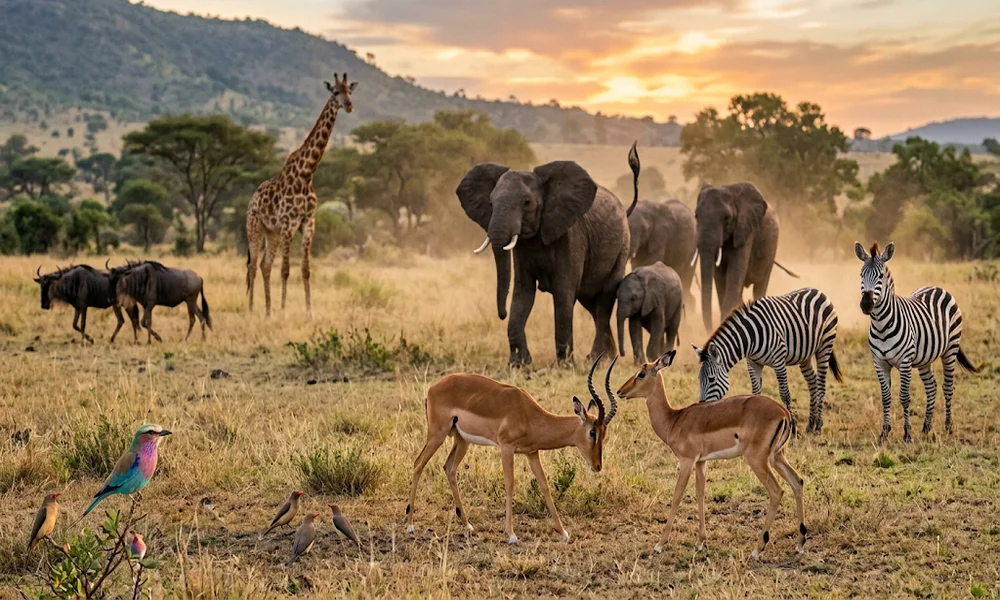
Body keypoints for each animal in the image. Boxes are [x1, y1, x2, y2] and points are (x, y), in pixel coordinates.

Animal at [245, 72, 358, 315]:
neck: (307, 174)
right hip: (255, 227)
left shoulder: (308, 222)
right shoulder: (290, 223)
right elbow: (286, 269)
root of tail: (252, 199)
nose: (349, 105)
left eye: (350, 91)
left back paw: (267, 312)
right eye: (335, 92)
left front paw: (308, 312)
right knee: (252, 265)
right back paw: (250, 311)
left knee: (265, 265)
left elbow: (305, 269)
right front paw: (284, 312)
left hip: (272, 232)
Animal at [457, 151, 639, 366]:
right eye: (491, 203)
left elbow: (563, 291)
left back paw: (596, 359)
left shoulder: (571, 236)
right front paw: (519, 365)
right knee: (591, 303)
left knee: (604, 300)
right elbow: (523, 291)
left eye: (527, 202)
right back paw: (605, 357)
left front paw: (564, 365)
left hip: (622, 247)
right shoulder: (523, 248)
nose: (502, 314)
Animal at [692, 182, 798, 332]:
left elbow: (734, 275)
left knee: (760, 287)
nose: (710, 330)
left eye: (726, 218)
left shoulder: (746, 231)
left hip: (771, 250)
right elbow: (720, 278)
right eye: (696, 216)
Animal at [693, 287, 842, 433]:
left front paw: (793, 427)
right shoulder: (753, 363)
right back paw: (811, 424)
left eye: (711, 379)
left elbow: (785, 393)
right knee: (812, 383)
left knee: (821, 384)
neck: (751, 337)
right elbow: (755, 393)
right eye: (699, 379)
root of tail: (818, 291)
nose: (700, 408)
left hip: (825, 346)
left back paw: (818, 425)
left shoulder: (779, 361)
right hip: (805, 355)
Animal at [854, 242, 980, 443]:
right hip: (924, 359)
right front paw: (884, 433)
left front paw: (907, 434)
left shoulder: (905, 362)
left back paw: (948, 427)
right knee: (931, 387)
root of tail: (937, 287)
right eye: (861, 275)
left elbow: (904, 397)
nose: (866, 305)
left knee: (947, 387)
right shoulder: (879, 363)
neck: (881, 326)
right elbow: (886, 397)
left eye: (880, 276)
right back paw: (926, 427)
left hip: (950, 349)